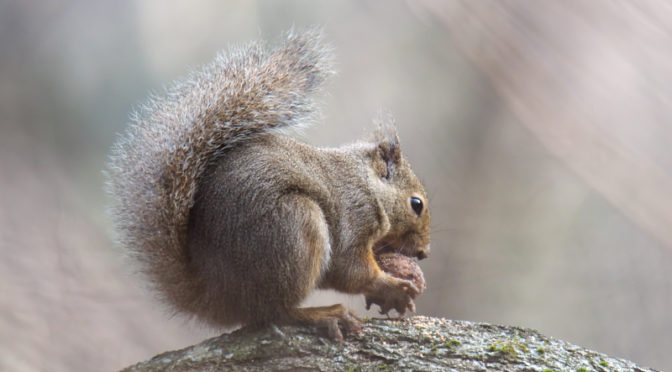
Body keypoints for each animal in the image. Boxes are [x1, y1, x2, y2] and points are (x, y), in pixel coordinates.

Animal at [105, 27, 430, 338]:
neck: (367, 185)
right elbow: (349, 270)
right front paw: (390, 286)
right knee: (274, 312)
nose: (423, 253)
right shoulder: (355, 215)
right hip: (296, 228)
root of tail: (217, 297)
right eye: (416, 204)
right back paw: (321, 314)